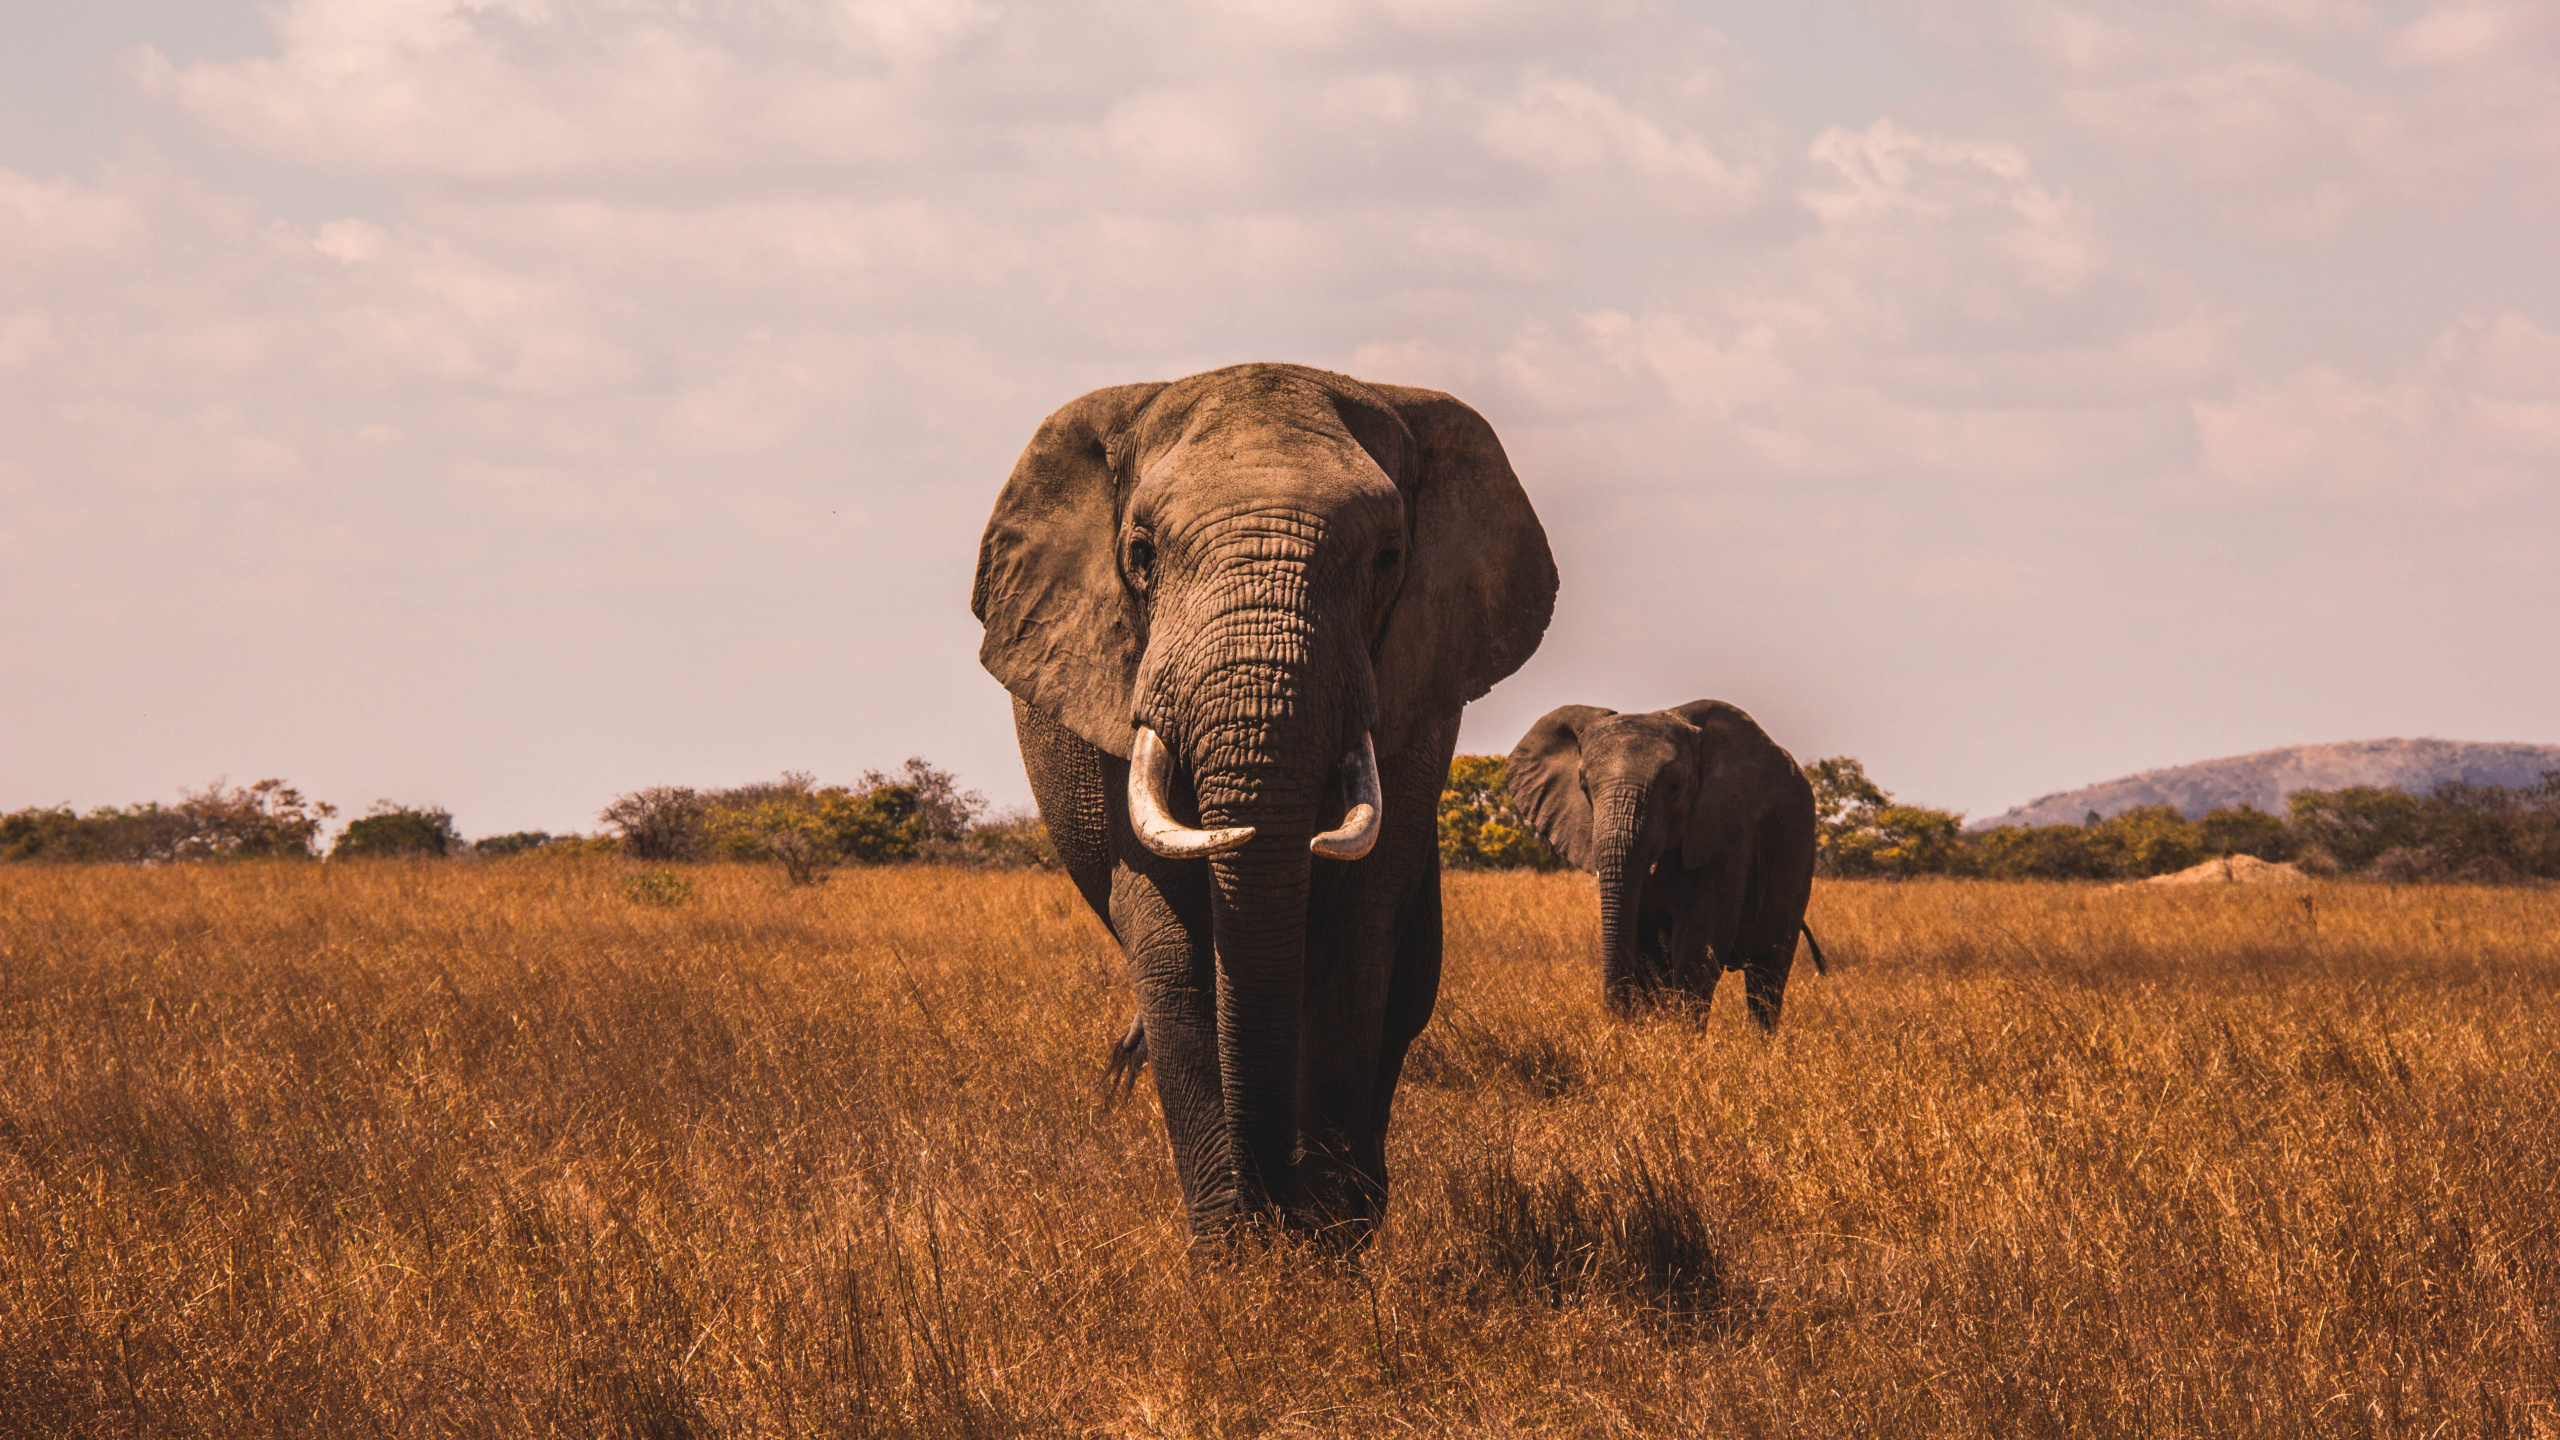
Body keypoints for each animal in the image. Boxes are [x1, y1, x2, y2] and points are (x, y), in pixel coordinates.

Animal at [971, 362, 1556, 1241]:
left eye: (1388, 557)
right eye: (1141, 554)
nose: (1275, 1203)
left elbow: (1357, 943)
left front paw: (1326, 1243)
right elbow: (1174, 950)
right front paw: (1235, 1251)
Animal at [1505, 700, 1825, 1026]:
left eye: (1674, 786)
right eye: (1584, 787)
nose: (1618, 1016)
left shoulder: (1727, 835)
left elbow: (1699, 944)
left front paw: (1682, 1036)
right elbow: (1648, 947)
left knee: (1767, 976)